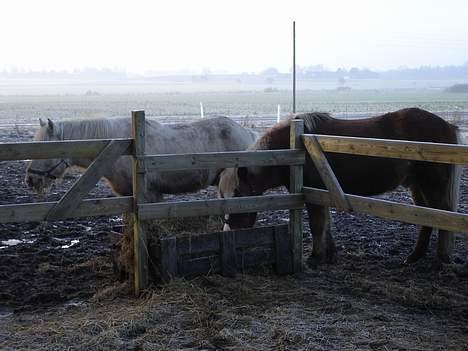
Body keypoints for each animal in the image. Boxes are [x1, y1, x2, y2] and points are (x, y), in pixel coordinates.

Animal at [218, 107, 460, 266]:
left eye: (239, 195)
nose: (229, 234)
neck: (295, 145)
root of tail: (448, 126)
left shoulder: (314, 193)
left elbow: (318, 225)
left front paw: (315, 258)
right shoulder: (323, 194)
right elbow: (327, 226)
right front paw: (330, 256)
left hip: (432, 184)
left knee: (443, 215)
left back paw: (441, 259)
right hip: (417, 185)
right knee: (427, 217)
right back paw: (415, 256)